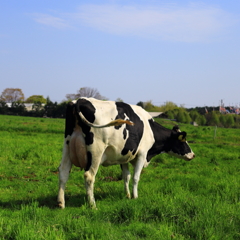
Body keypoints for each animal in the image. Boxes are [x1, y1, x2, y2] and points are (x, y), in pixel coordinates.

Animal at [57, 97, 195, 208]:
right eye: (183, 141)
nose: (193, 155)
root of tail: (79, 100)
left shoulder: (124, 156)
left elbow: (126, 176)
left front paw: (127, 195)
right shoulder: (142, 154)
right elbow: (135, 177)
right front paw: (135, 196)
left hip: (67, 146)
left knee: (63, 172)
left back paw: (61, 203)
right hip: (96, 150)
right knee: (89, 176)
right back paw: (93, 205)